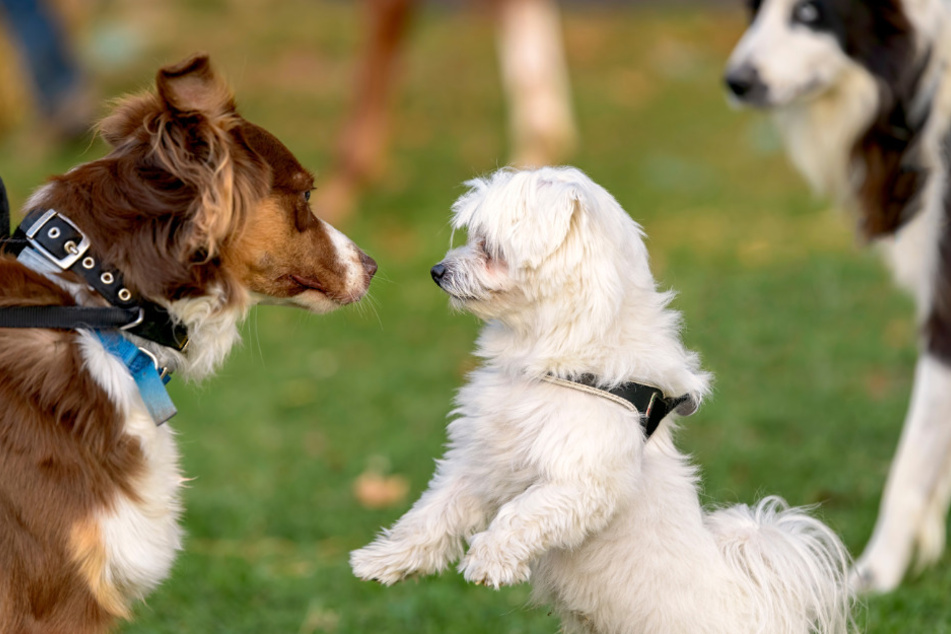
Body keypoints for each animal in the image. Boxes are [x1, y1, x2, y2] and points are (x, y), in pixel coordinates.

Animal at [352, 167, 856, 632]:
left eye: (488, 247)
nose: (437, 271)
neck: (556, 361)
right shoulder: (482, 460)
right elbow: (434, 512)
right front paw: (384, 558)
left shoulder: (583, 481)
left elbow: (523, 513)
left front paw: (490, 559)